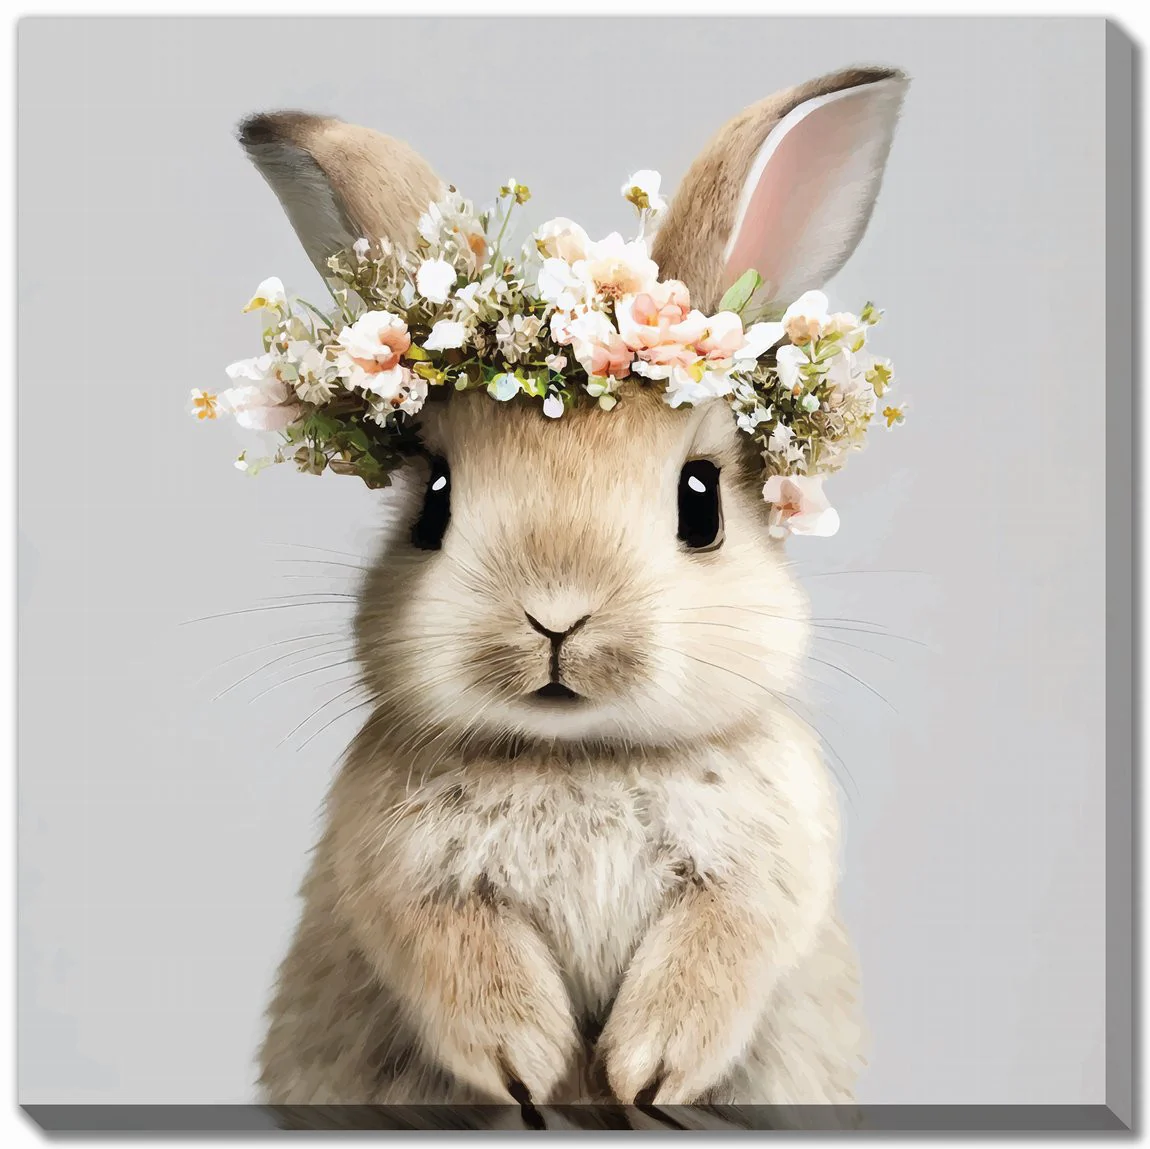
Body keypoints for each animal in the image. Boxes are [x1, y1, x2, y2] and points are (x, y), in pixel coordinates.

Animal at [240, 65, 908, 1120]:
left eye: (701, 503)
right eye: (433, 501)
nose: (556, 613)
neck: (579, 755)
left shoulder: (763, 871)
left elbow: (719, 949)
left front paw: (646, 1072)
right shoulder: (405, 881)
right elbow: (461, 962)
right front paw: (534, 1069)